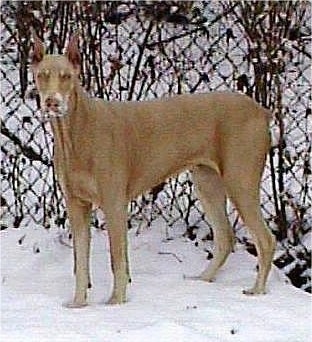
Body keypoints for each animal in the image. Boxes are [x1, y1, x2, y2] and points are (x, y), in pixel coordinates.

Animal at [31, 34, 276, 308]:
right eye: (42, 75)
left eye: (66, 76)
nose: (52, 102)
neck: (76, 132)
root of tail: (261, 111)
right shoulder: (76, 204)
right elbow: (80, 262)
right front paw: (78, 304)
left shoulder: (114, 204)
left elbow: (118, 259)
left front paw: (115, 302)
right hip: (207, 183)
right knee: (225, 238)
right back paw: (203, 279)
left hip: (239, 181)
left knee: (265, 240)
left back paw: (257, 290)